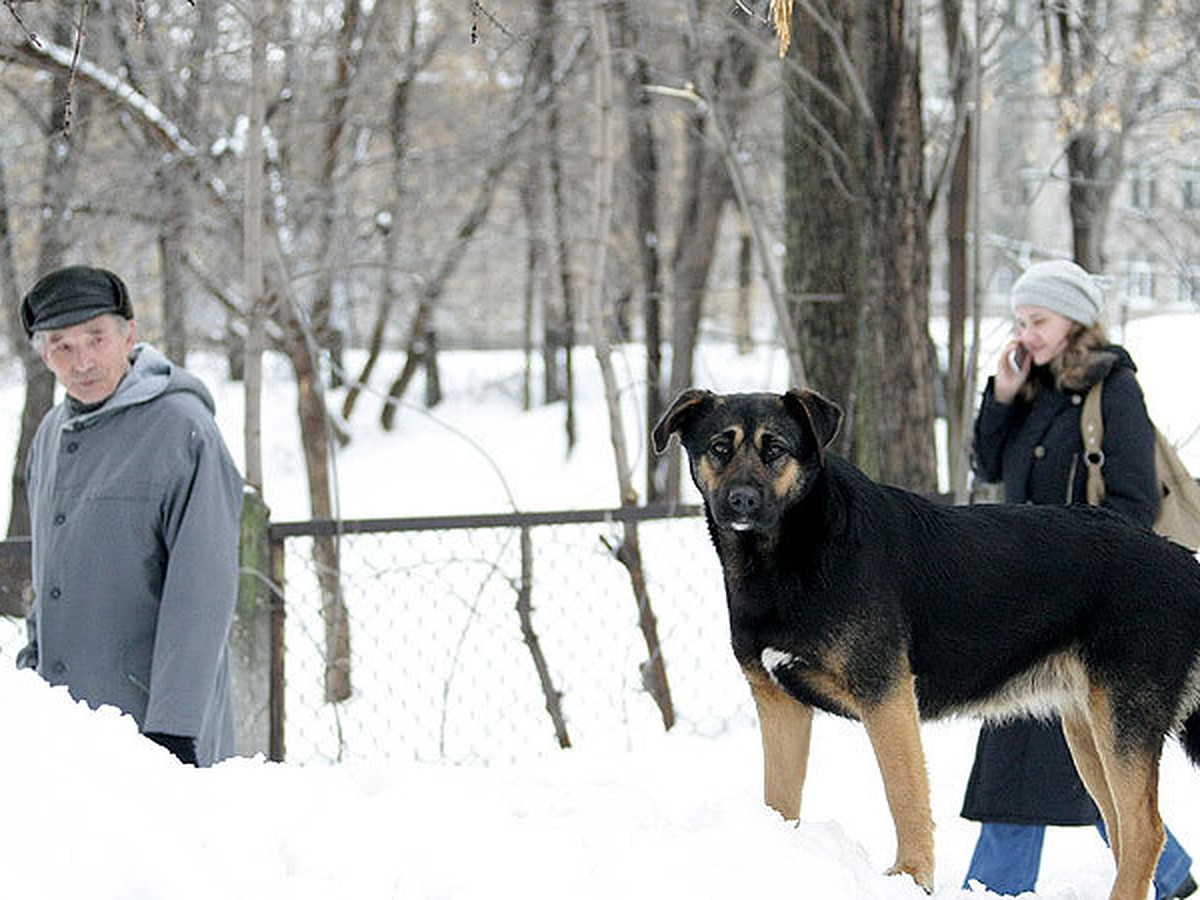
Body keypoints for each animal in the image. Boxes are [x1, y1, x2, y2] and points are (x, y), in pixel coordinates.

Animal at [657, 388, 1200, 900]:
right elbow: (780, 798)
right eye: (720, 447)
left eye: (776, 450)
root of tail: (1181, 562)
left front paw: (911, 876)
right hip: (1087, 731)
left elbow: (904, 794)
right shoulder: (779, 703)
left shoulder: (886, 696)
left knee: (1145, 831)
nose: (742, 502)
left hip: (1121, 721)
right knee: (1124, 829)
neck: (792, 552)